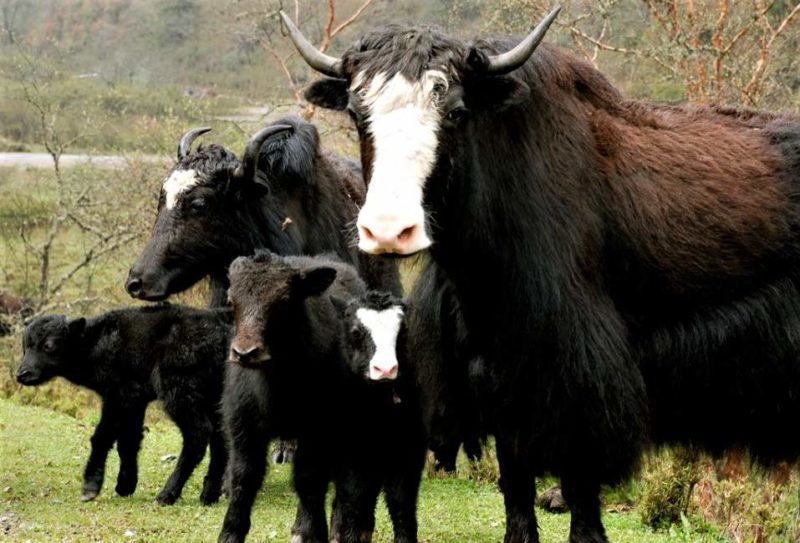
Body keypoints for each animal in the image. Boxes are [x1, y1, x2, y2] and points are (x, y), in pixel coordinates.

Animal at [16, 306, 231, 506]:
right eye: (25, 346)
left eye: (49, 345)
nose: (22, 374)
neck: (96, 343)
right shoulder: (135, 400)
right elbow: (128, 440)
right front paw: (126, 485)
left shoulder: (118, 396)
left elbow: (102, 436)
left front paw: (90, 486)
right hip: (213, 396)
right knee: (220, 437)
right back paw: (208, 495)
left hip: (179, 391)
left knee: (198, 434)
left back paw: (167, 494)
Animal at [216, 253, 422, 543]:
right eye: (231, 299)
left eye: (284, 300)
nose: (245, 352)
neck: (276, 386)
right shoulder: (243, 429)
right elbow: (243, 478)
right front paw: (230, 533)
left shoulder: (318, 433)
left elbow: (311, 481)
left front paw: (312, 532)